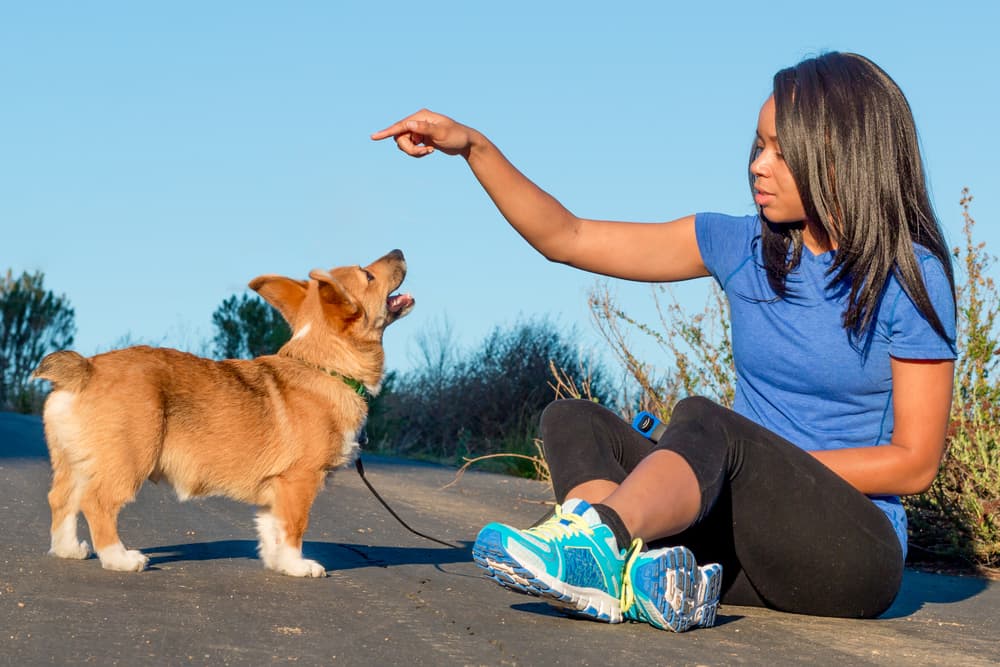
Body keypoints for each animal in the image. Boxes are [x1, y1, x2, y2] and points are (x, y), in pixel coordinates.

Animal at [31, 248, 414, 576]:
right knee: (97, 503)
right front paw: (297, 566)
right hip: (129, 459)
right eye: (367, 274)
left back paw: (68, 549)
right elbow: (294, 528)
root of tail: (86, 369)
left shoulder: (276, 488)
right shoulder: (300, 481)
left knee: (62, 500)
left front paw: (277, 563)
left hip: (75, 461)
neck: (326, 367)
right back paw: (120, 558)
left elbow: (272, 529)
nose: (399, 251)